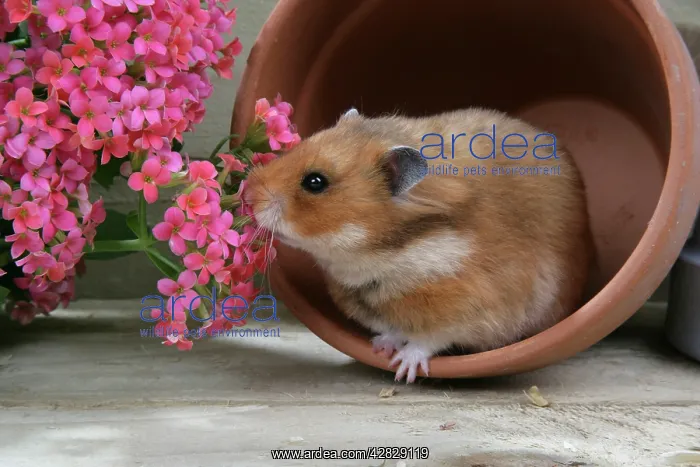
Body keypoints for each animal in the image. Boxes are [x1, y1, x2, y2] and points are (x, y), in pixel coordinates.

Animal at [244, 107, 593, 383]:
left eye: (315, 182)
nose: (247, 194)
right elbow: (396, 329)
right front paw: (380, 346)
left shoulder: (476, 309)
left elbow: (431, 338)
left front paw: (403, 368)